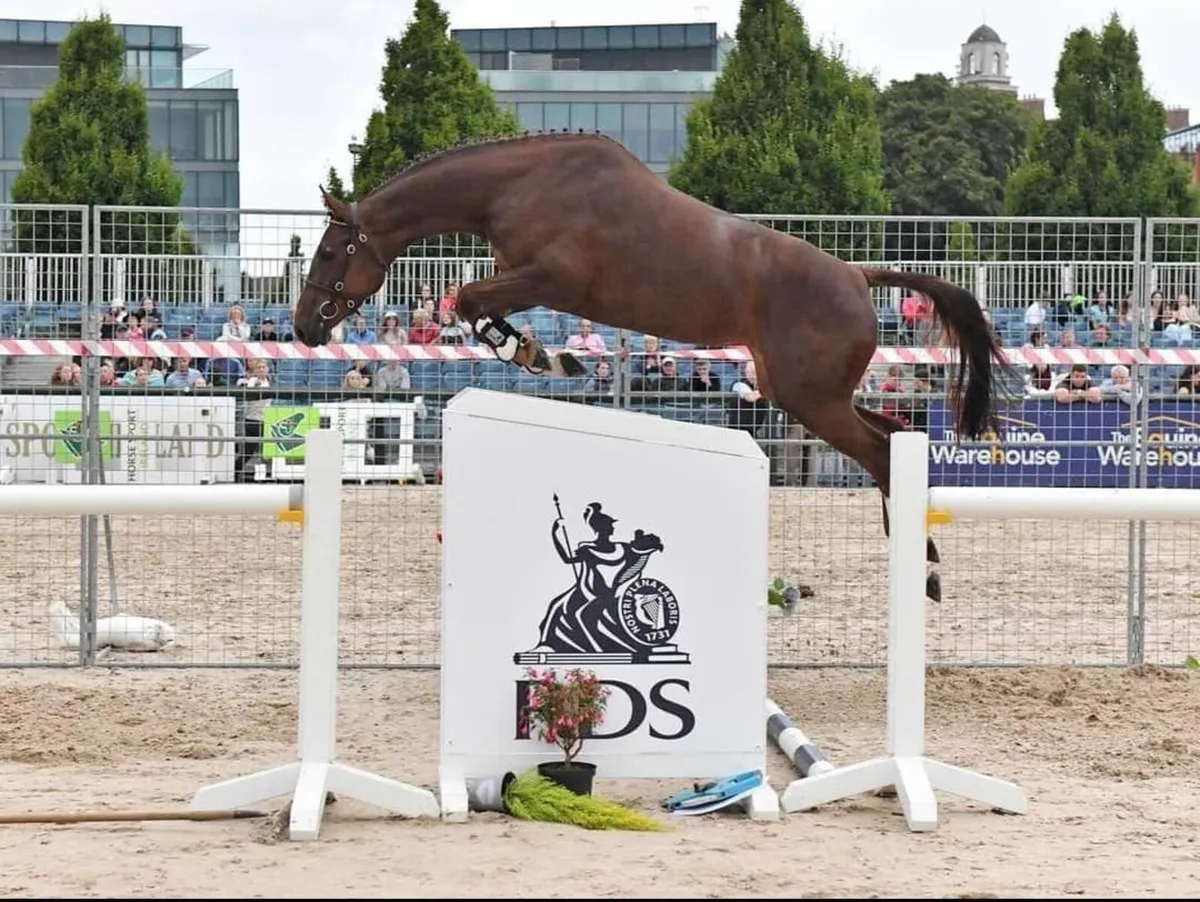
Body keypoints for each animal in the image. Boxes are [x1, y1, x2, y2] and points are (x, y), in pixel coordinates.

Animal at [291, 130, 1007, 602]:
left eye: (328, 252)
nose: (303, 327)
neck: (518, 184)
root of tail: (859, 277)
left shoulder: (550, 278)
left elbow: (468, 300)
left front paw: (540, 355)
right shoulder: (530, 281)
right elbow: (474, 304)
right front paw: (548, 355)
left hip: (812, 400)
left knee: (883, 451)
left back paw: (925, 567)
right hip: (805, 393)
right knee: (893, 437)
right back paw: (920, 559)